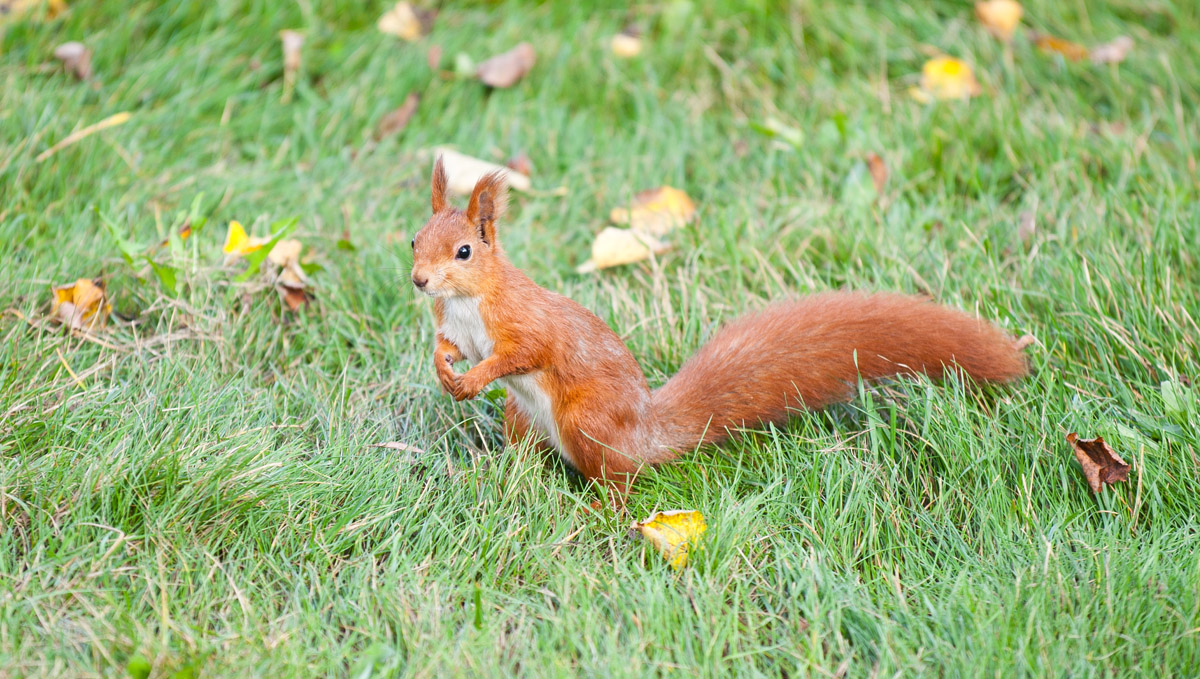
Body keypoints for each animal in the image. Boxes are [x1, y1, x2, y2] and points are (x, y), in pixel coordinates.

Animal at [412, 160, 1032, 501]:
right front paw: (444, 367)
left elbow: (521, 354)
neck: (466, 303)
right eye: (415, 239)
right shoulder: (458, 328)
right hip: (523, 418)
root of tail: (646, 435)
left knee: (618, 483)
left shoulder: (524, 324)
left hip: (585, 420)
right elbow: (449, 346)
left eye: (464, 251)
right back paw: (500, 474)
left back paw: (593, 508)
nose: (419, 281)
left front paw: (474, 378)